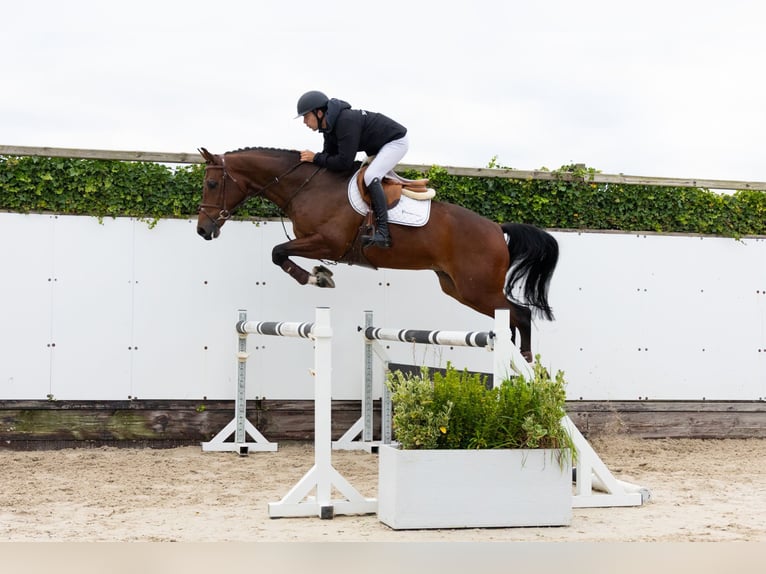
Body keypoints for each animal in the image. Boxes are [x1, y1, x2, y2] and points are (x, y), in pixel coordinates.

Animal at [196, 147, 558, 361]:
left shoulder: (327, 242)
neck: (306, 187)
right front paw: (319, 275)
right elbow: (280, 253)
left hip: (477, 288)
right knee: (510, 317)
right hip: (458, 288)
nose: (202, 230)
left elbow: (277, 252)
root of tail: (497, 228)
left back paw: (526, 363)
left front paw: (318, 278)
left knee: (520, 314)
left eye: (212, 185)